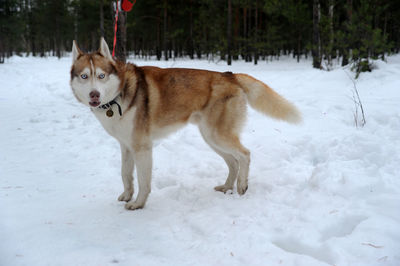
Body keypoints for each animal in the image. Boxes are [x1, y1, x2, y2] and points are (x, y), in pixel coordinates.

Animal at [70, 38, 300, 211]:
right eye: (84, 76)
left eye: (101, 75)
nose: (94, 95)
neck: (119, 95)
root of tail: (230, 75)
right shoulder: (126, 146)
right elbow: (126, 174)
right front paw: (127, 195)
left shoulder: (142, 148)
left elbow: (143, 181)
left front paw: (138, 204)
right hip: (210, 138)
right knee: (233, 162)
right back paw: (227, 187)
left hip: (217, 136)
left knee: (245, 154)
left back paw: (242, 186)